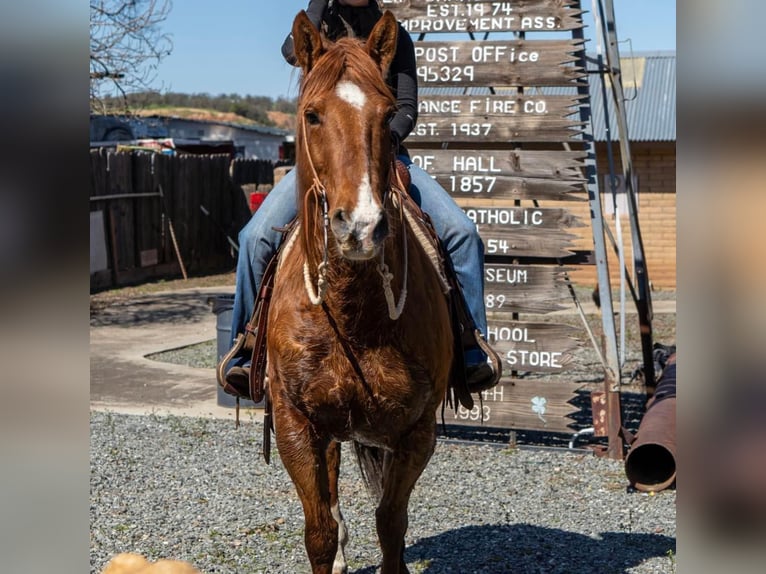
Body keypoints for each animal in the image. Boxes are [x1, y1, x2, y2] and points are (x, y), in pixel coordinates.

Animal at [268, 9, 452, 574]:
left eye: (388, 116)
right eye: (311, 115)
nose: (362, 228)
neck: (350, 315)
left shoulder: (416, 433)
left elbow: (391, 524)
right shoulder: (295, 424)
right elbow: (321, 532)